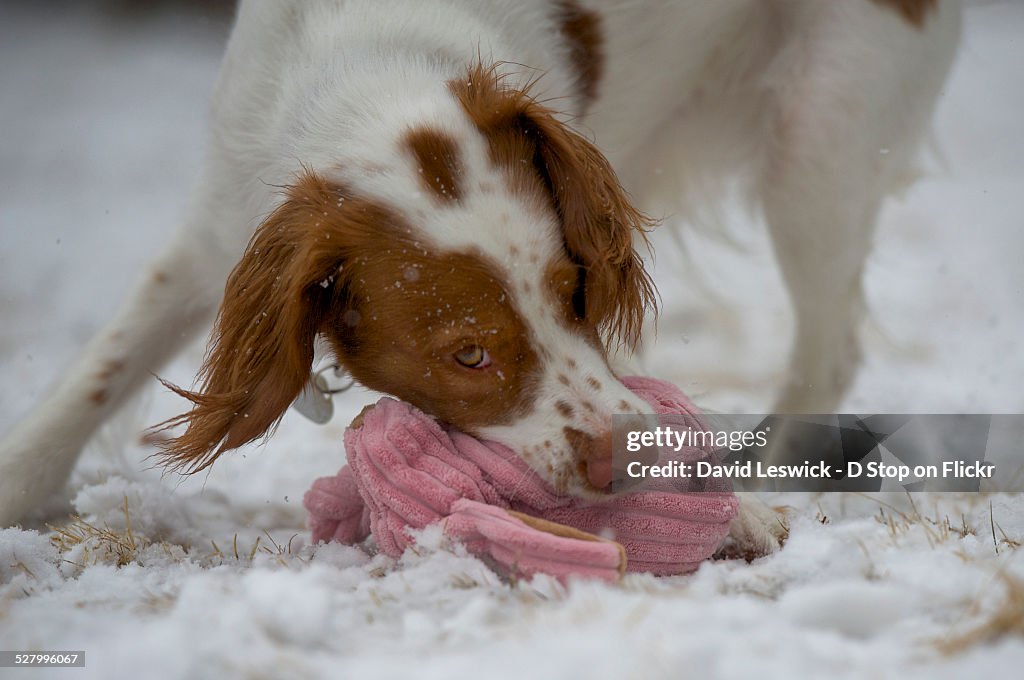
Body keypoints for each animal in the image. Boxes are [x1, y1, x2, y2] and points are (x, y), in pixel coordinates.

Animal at [0, 1, 958, 557]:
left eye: (577, 296)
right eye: (468, 355)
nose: (621, 461)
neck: (375, 72)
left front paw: (734, 510)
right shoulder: (218, 223)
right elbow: (101, 368)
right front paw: (19, 484)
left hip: (822, 133)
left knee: (827, 351)